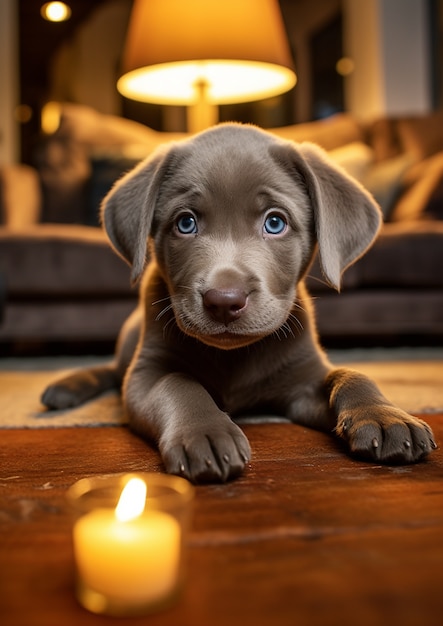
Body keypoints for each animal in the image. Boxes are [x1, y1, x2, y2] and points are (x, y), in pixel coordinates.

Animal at [41, 123, 438, 482]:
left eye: (275, 222)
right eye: (185, 223)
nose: (224, 301)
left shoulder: (302, 383)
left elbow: (351, 374)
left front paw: (385, 416)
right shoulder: (145, 375)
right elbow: (177, 383)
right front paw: (205, 432)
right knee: (111, 369)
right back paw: (66, 388)